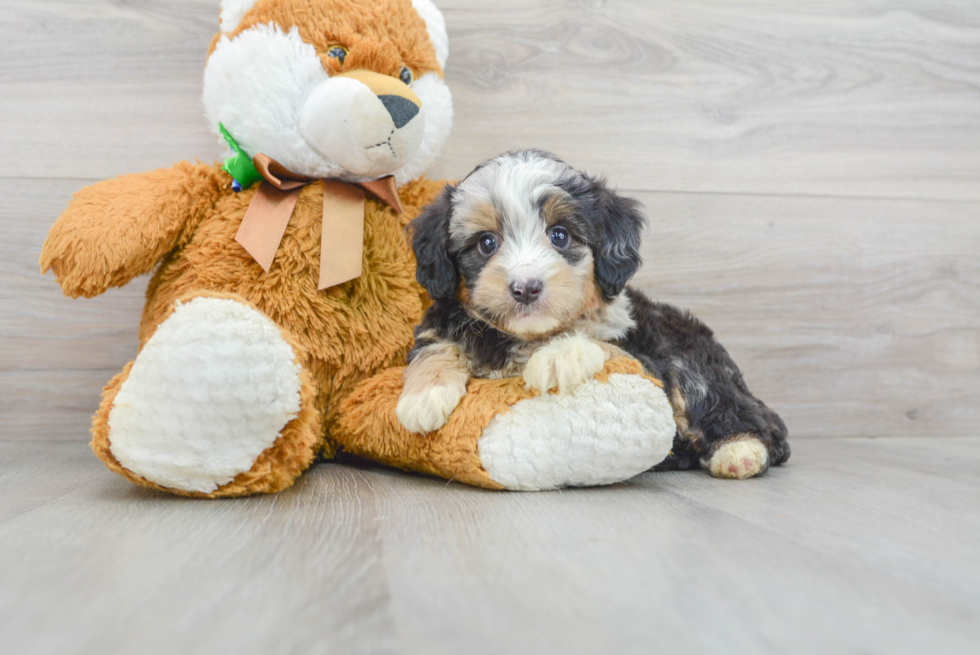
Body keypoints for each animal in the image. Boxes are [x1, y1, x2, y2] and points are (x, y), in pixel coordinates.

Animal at [396, 151, 788, 480]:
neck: (522, 336)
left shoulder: (647, 360)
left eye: (559, 236)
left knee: (730, 409)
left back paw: (740, 452)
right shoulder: (440, 324)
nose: (526, 287)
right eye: (486, 243)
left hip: (691, 362)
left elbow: (598, 342)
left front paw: (558, 355)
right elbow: (436, 346)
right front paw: (422, 398)